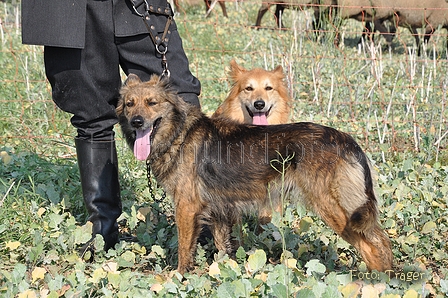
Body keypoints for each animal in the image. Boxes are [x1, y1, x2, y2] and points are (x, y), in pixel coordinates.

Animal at [116, 73, 392, 274]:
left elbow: (185, 248)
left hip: (335, 208)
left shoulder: (186, 207)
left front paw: (179, 277)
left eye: (152, 103)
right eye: (130, 104)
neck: (179, 134)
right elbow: (223, 247)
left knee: (371, 245)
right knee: (381, 238)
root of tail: (347, 139)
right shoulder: (218, 210)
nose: (137, 122)